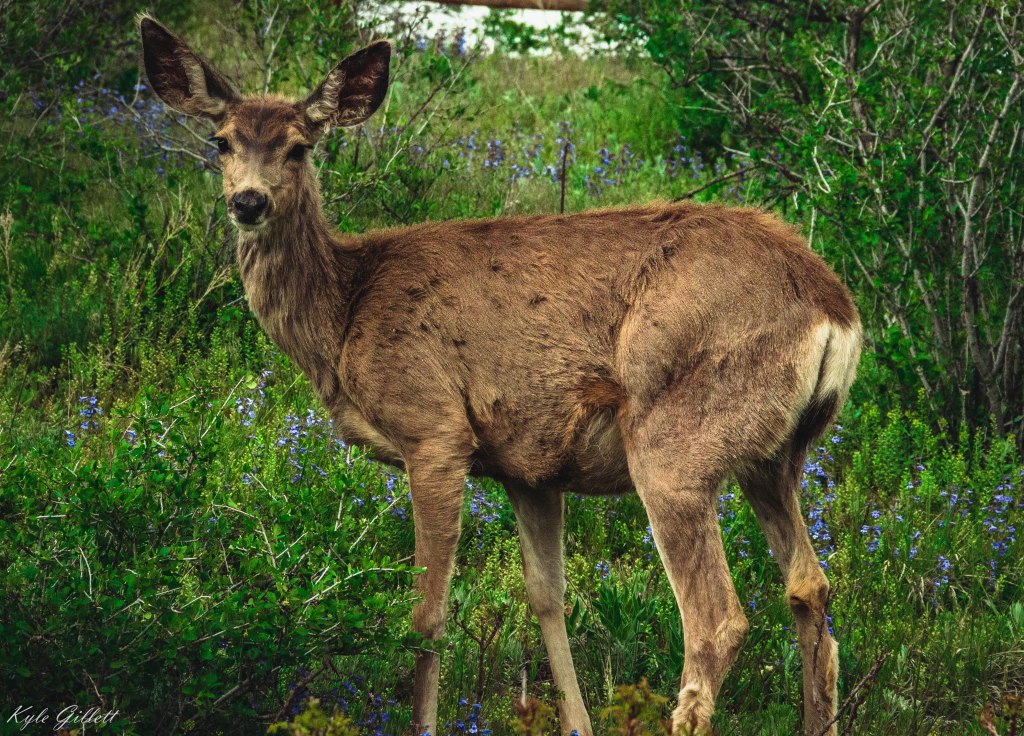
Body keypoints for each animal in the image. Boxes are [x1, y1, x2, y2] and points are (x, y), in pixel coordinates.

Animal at [139, 17, 861, 736]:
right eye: (221, 140)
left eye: (297, 147)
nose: (248, 201)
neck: (345, 313)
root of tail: (832, 306)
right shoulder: (528, 465)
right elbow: (547, 598)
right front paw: (577, 722)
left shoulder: (434, 429)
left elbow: (426, 617)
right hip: (774, 455)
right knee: (810, 589)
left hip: (676, 439)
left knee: (717, 620)